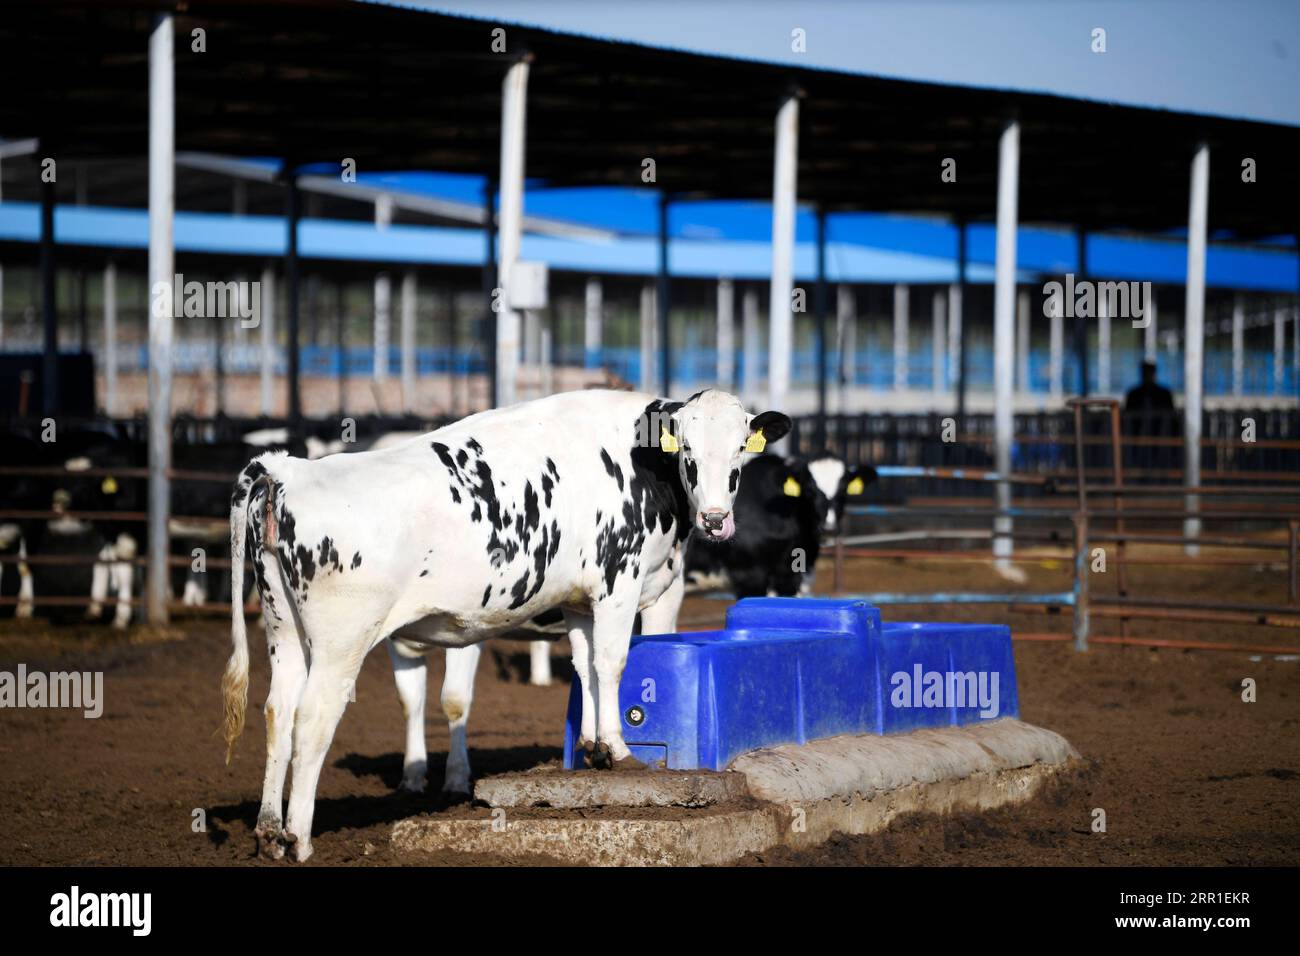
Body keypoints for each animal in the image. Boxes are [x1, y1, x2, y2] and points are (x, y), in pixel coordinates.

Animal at [218, 387, 785, 858]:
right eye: (686, 450)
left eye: (741, 449)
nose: (716, 519)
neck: (639, 461)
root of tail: (288, 470)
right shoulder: (621, 583)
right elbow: (612, 661)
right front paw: (619, 748)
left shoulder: (579, 600)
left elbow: (584, 665)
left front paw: (593, 747)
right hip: (342, 640)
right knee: (312, 719)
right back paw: (299, 838)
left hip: (284, 630)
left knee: (277, 712)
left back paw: (269, 830)